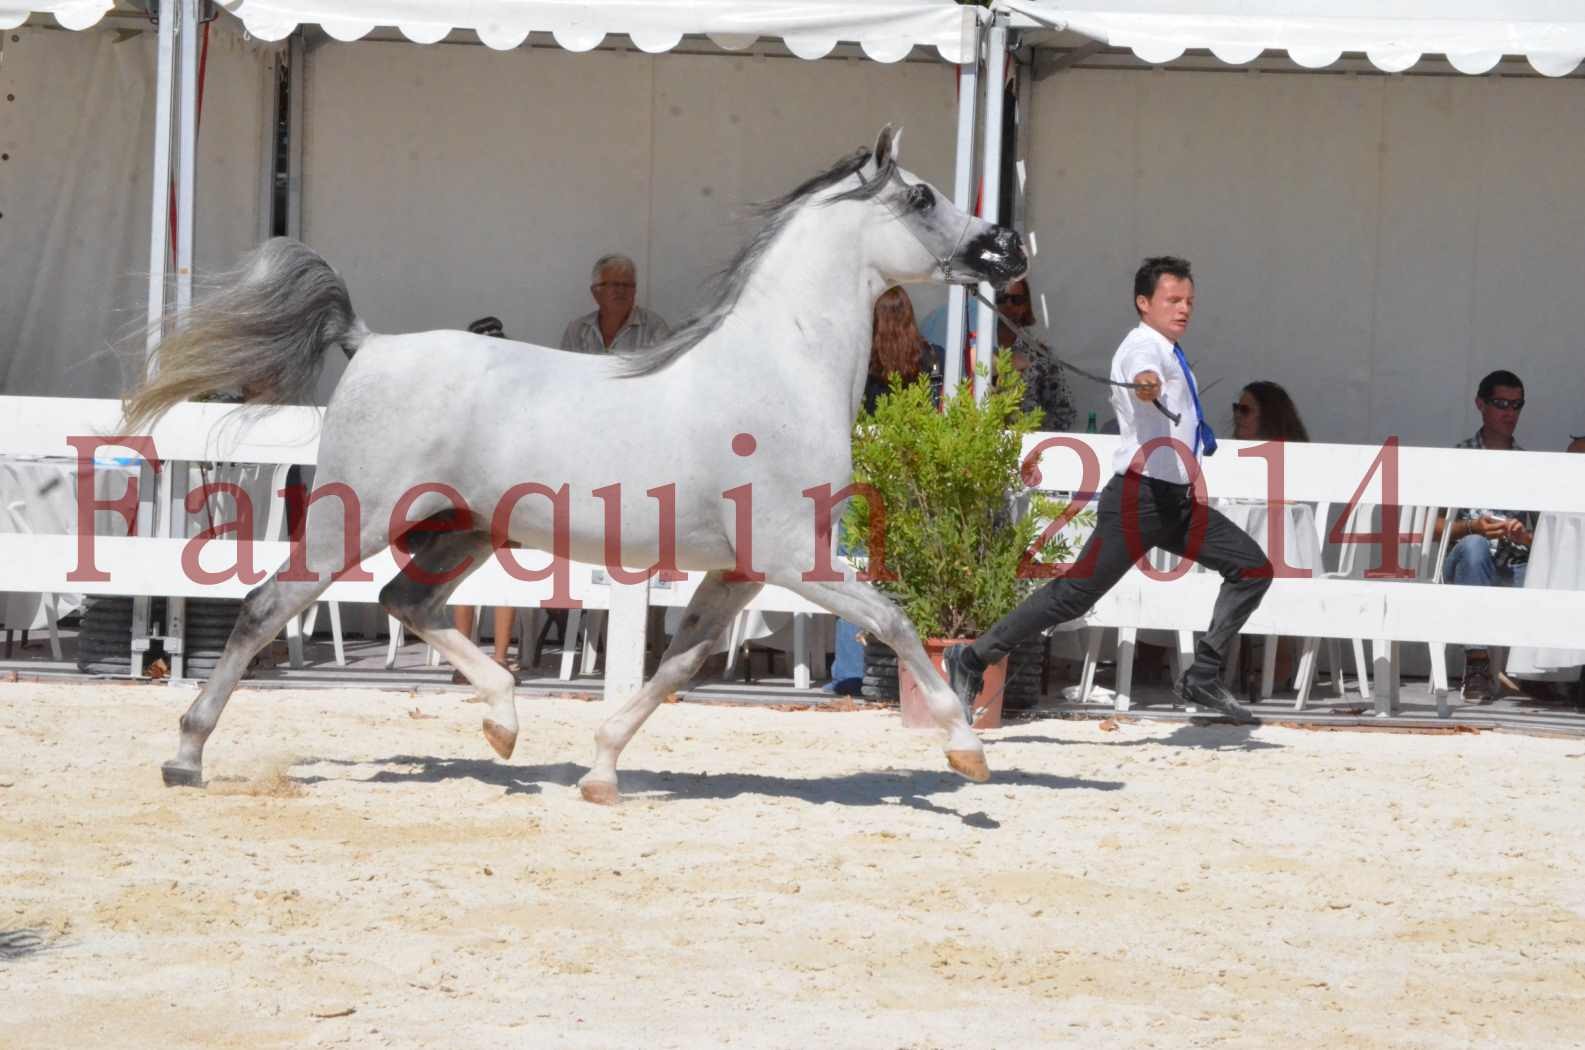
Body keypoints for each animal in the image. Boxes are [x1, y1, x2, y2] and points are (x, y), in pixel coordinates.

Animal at [129, 129, 1033, 805]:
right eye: (921, 198)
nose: (1007, 248)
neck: (779, 370)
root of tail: (370, 342)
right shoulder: (793, 557)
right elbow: (894, 621)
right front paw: (965, 749)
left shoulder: (739, 571)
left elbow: (678, 665)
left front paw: (600, 770)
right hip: (352, 519)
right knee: (266, 607)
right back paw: (185, 756)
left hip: (465, 530)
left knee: (405, 599)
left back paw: (502, 723)